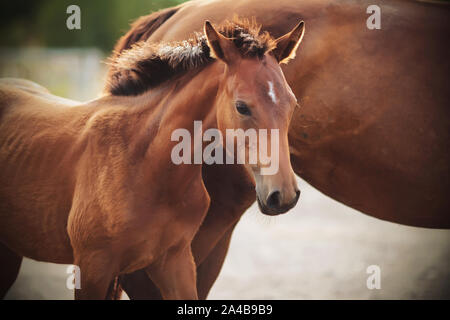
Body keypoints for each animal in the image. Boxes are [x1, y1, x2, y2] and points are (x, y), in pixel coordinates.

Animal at [0, 20, 306, 300]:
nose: (283, 195)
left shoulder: (175, 260)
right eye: (242, 107)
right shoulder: (92, 267)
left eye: (292, 103)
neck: (146, 165)